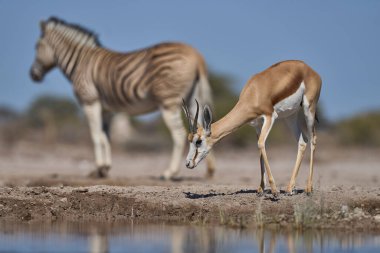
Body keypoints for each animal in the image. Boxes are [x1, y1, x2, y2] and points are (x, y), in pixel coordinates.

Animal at [29, 17, 215, 180]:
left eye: (37, 46)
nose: (32, 75)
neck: (80, 62)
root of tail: (196, 55)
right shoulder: (106, 109)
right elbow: (106, 137)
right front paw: (104, 169)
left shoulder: (90, 101)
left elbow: (95, 135)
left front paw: (99, 168)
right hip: (192, 99)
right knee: (201, 128)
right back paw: (209, 170)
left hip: (168, 102)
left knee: (178, 133)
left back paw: (169, 173)